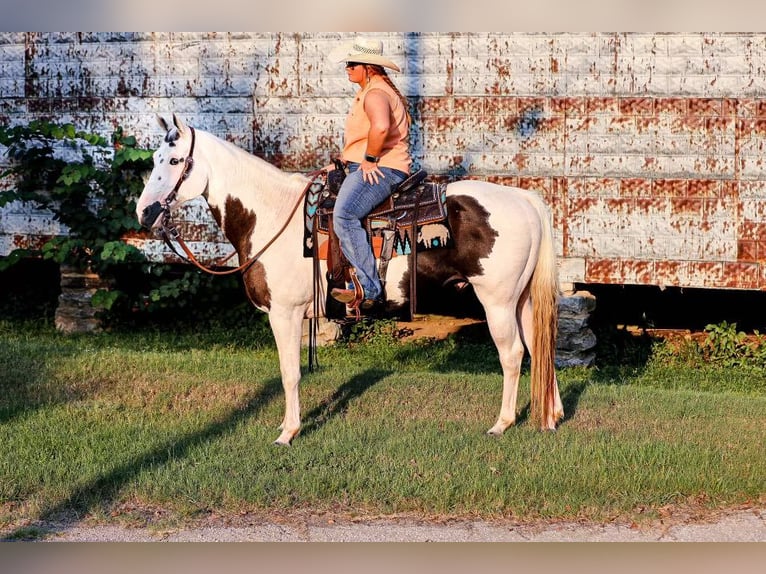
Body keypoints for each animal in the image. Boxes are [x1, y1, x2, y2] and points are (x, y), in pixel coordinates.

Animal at [136, 113, 564, 445]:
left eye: (175, 160)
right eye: (155, 158)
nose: (144, 213)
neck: (273, 215)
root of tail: (523, 199)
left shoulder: (285, 313)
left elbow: (289, 373)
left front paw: (288, 432)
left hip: (497, 301)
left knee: (513, 354)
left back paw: (502, 424)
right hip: (522, 300)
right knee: (540, 346)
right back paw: (552, 415)